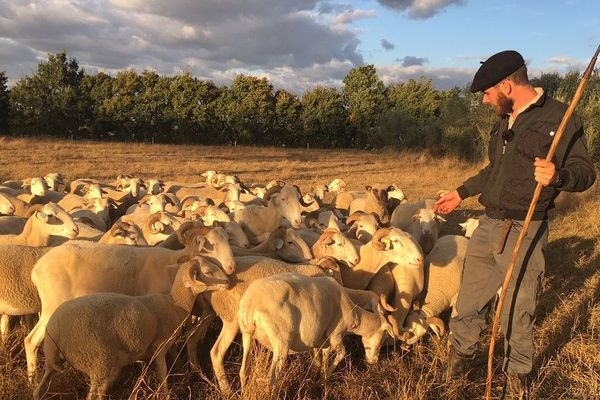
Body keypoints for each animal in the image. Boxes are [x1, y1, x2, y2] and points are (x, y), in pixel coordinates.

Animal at [25, 222, 237, 382]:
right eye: (211, 244)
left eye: (227, 240)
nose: (231, 268)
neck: (174, 266)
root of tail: (37, 268)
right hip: (51, 308)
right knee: (31, 340)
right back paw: (32, 379)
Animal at [32, 256, 230, 400]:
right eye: (207, 271)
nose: (228, 282)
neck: (175, 303)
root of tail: (56, 328)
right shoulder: (159, 348)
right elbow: (163, 377)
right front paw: (166, 394)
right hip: (98, 362)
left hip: (53, 361)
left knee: (39, 389)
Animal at [237, 272, 396, 390]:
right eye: (384, 336)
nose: (373, 361)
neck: (355, 314)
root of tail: (252, 303)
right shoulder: (336, 335)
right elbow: (341, 353)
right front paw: (323, 379)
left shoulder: (323, 341)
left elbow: (323, 358)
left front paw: (318, 377)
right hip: (281, 343)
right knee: (271, 380)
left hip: (247, 334)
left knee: (243, 372)